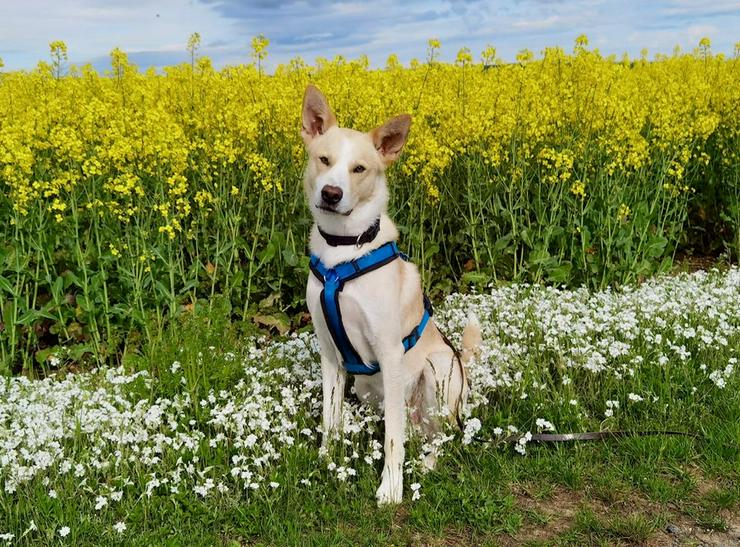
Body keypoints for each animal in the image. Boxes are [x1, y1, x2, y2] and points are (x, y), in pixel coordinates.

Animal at [300, 84, 480, 506]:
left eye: (359, 169)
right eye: (324, 159)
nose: (331, 194)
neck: (344, 251)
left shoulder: (389, 350)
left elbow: (393, 439)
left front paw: (392, 487)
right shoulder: (330, 355)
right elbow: (330, 419)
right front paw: (327, 460)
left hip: (439, 370)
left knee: (440, 436)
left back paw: (426, 463)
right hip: (367, 388)